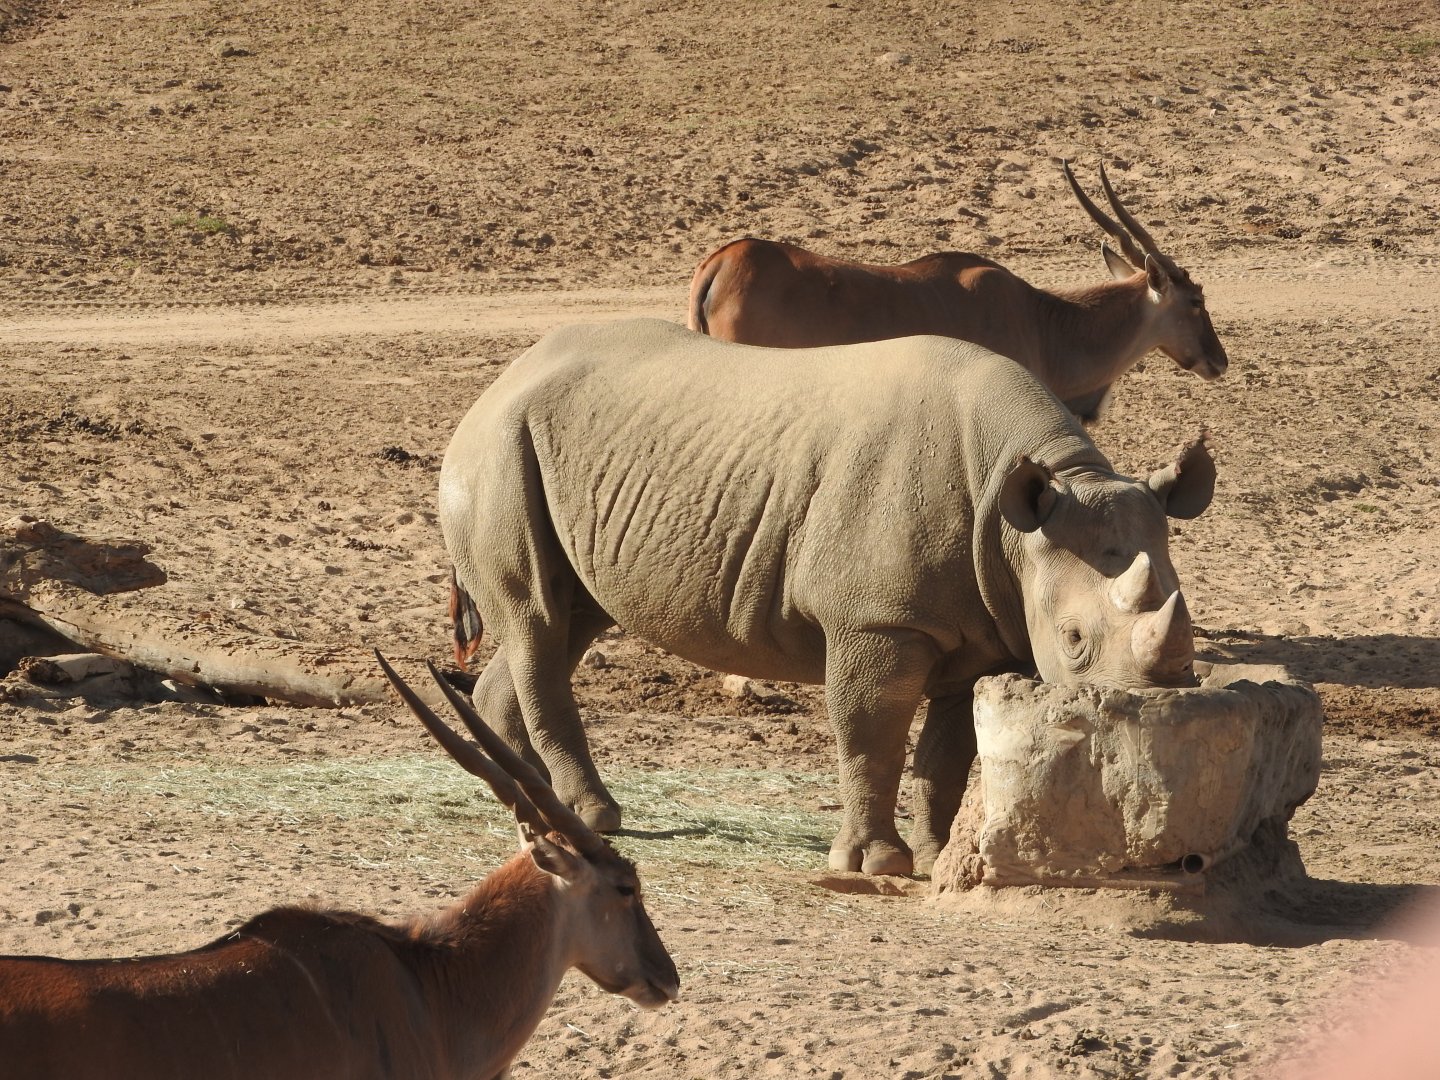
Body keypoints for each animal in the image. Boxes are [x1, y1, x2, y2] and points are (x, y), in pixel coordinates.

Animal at [440, 318, 1215, 875]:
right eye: (1075, 640)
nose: (1149, 717)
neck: (1025, 512)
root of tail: (500, 381)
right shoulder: (879, 620)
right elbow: (871, 732)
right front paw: (875, 863)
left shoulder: (982, 625)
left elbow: (948, 752)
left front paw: (935, 855)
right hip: (499, 450)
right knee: (538, 619)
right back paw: (595, 817)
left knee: (566, 619)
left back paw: (534, 805)